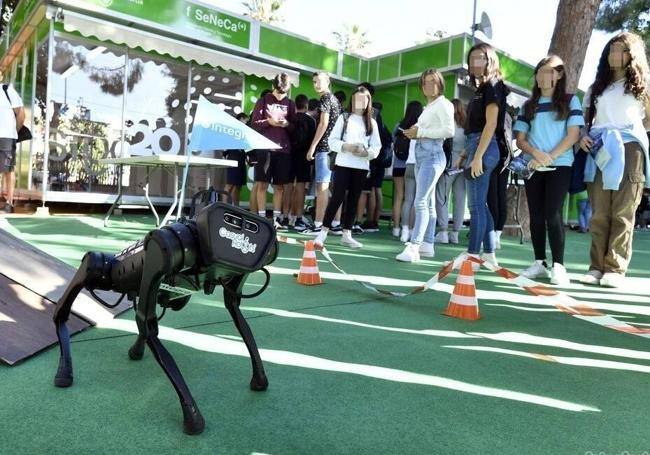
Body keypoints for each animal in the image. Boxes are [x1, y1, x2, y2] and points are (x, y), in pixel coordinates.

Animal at [48, 202, 276, 434]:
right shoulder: (160, 249)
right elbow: (146, 323)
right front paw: (193, 417)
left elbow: (234, 309)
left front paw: (260, 379)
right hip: (105, 270)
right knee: (81, 278)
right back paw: (64, 370)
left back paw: (135, 350)